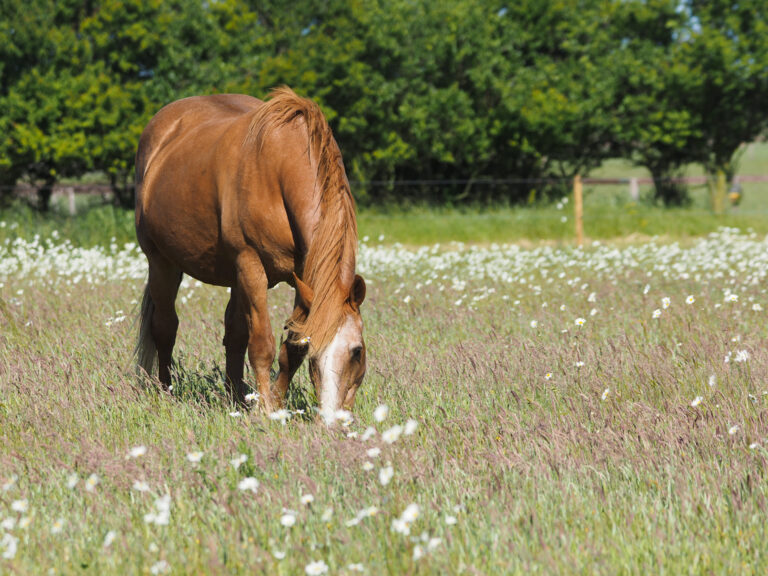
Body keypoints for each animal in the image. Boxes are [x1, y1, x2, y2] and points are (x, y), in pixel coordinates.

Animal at [133, 87, 367, 419]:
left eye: (357, 351)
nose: (334, 422)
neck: (281, 164)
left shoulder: (305, 275)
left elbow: (290, 345)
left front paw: (277, 403)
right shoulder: (251, 265)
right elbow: (262, 344)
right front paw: (268, 410)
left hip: (234, 277)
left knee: (234, 334)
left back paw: (236, 398)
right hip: (162, 264)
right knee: (166, 327)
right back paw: (167, 392)